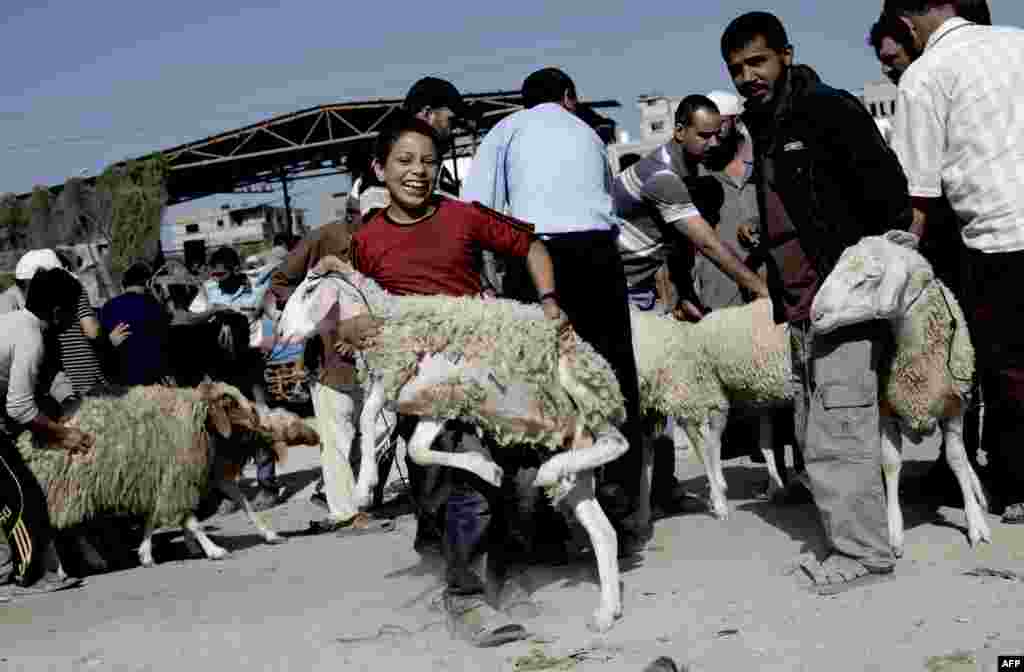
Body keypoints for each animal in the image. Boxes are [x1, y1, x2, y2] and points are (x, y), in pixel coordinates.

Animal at [280, 256, 630, 631]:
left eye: (309, 290)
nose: (281, 334)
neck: (388, 322)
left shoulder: (436, 382)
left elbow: (369, 417)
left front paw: (363, 487)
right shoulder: (434, 401)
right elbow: (415, 448)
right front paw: (486, 470)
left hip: (581, 388)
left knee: (617, 442)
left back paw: (549, 472)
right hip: (573, 440)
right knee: (603, 531)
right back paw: (607, 612)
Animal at [630, 232, 991, 557]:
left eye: (869, 280)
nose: (816, 314)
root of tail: (699, 325)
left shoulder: (953, 408)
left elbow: (957, 459)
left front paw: (975, 521)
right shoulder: (888, 412)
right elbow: (891, 465)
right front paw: (893, 532)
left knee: (756, 441)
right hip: (714, 390)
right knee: (713, 441)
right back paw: (723, 491)